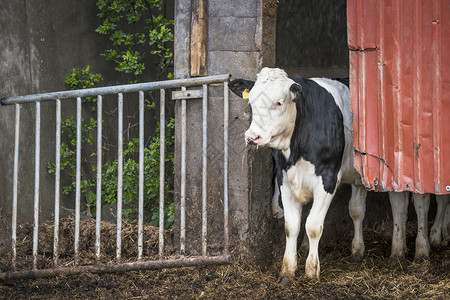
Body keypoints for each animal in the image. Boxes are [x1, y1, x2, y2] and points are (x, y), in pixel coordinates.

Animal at [232, 68, 432, 284]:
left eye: (279, 102)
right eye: (251, 102)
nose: (252, 137)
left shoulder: (327, 180)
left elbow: (313, 225)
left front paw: (312, 271)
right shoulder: (286, 180)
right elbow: (292, 226)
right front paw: (287, 271)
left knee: (418, 204)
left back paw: (422, 250)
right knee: (384, 207)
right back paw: (389, 251)